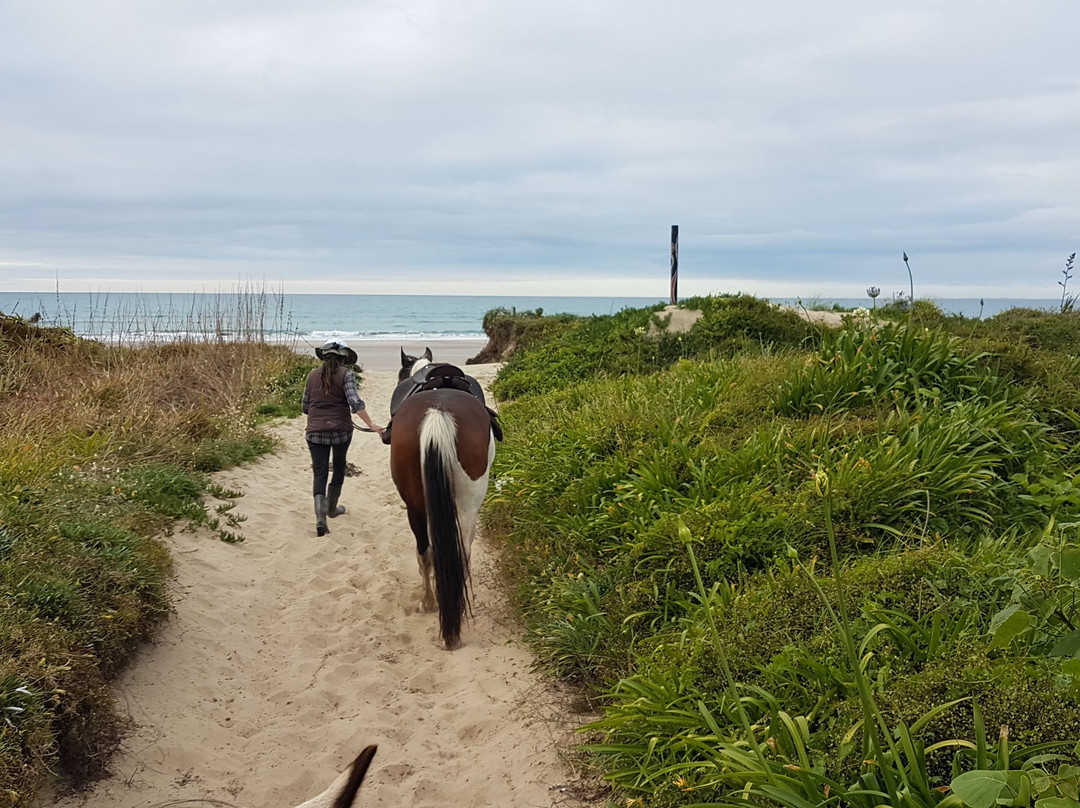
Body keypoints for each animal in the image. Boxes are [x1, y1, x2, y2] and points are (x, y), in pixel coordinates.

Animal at [388, 347, 497, 649]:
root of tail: (438, 411)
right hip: (468, 504)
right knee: (455, 552)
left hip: (417, 505)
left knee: (427, 550)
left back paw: (429, 601)